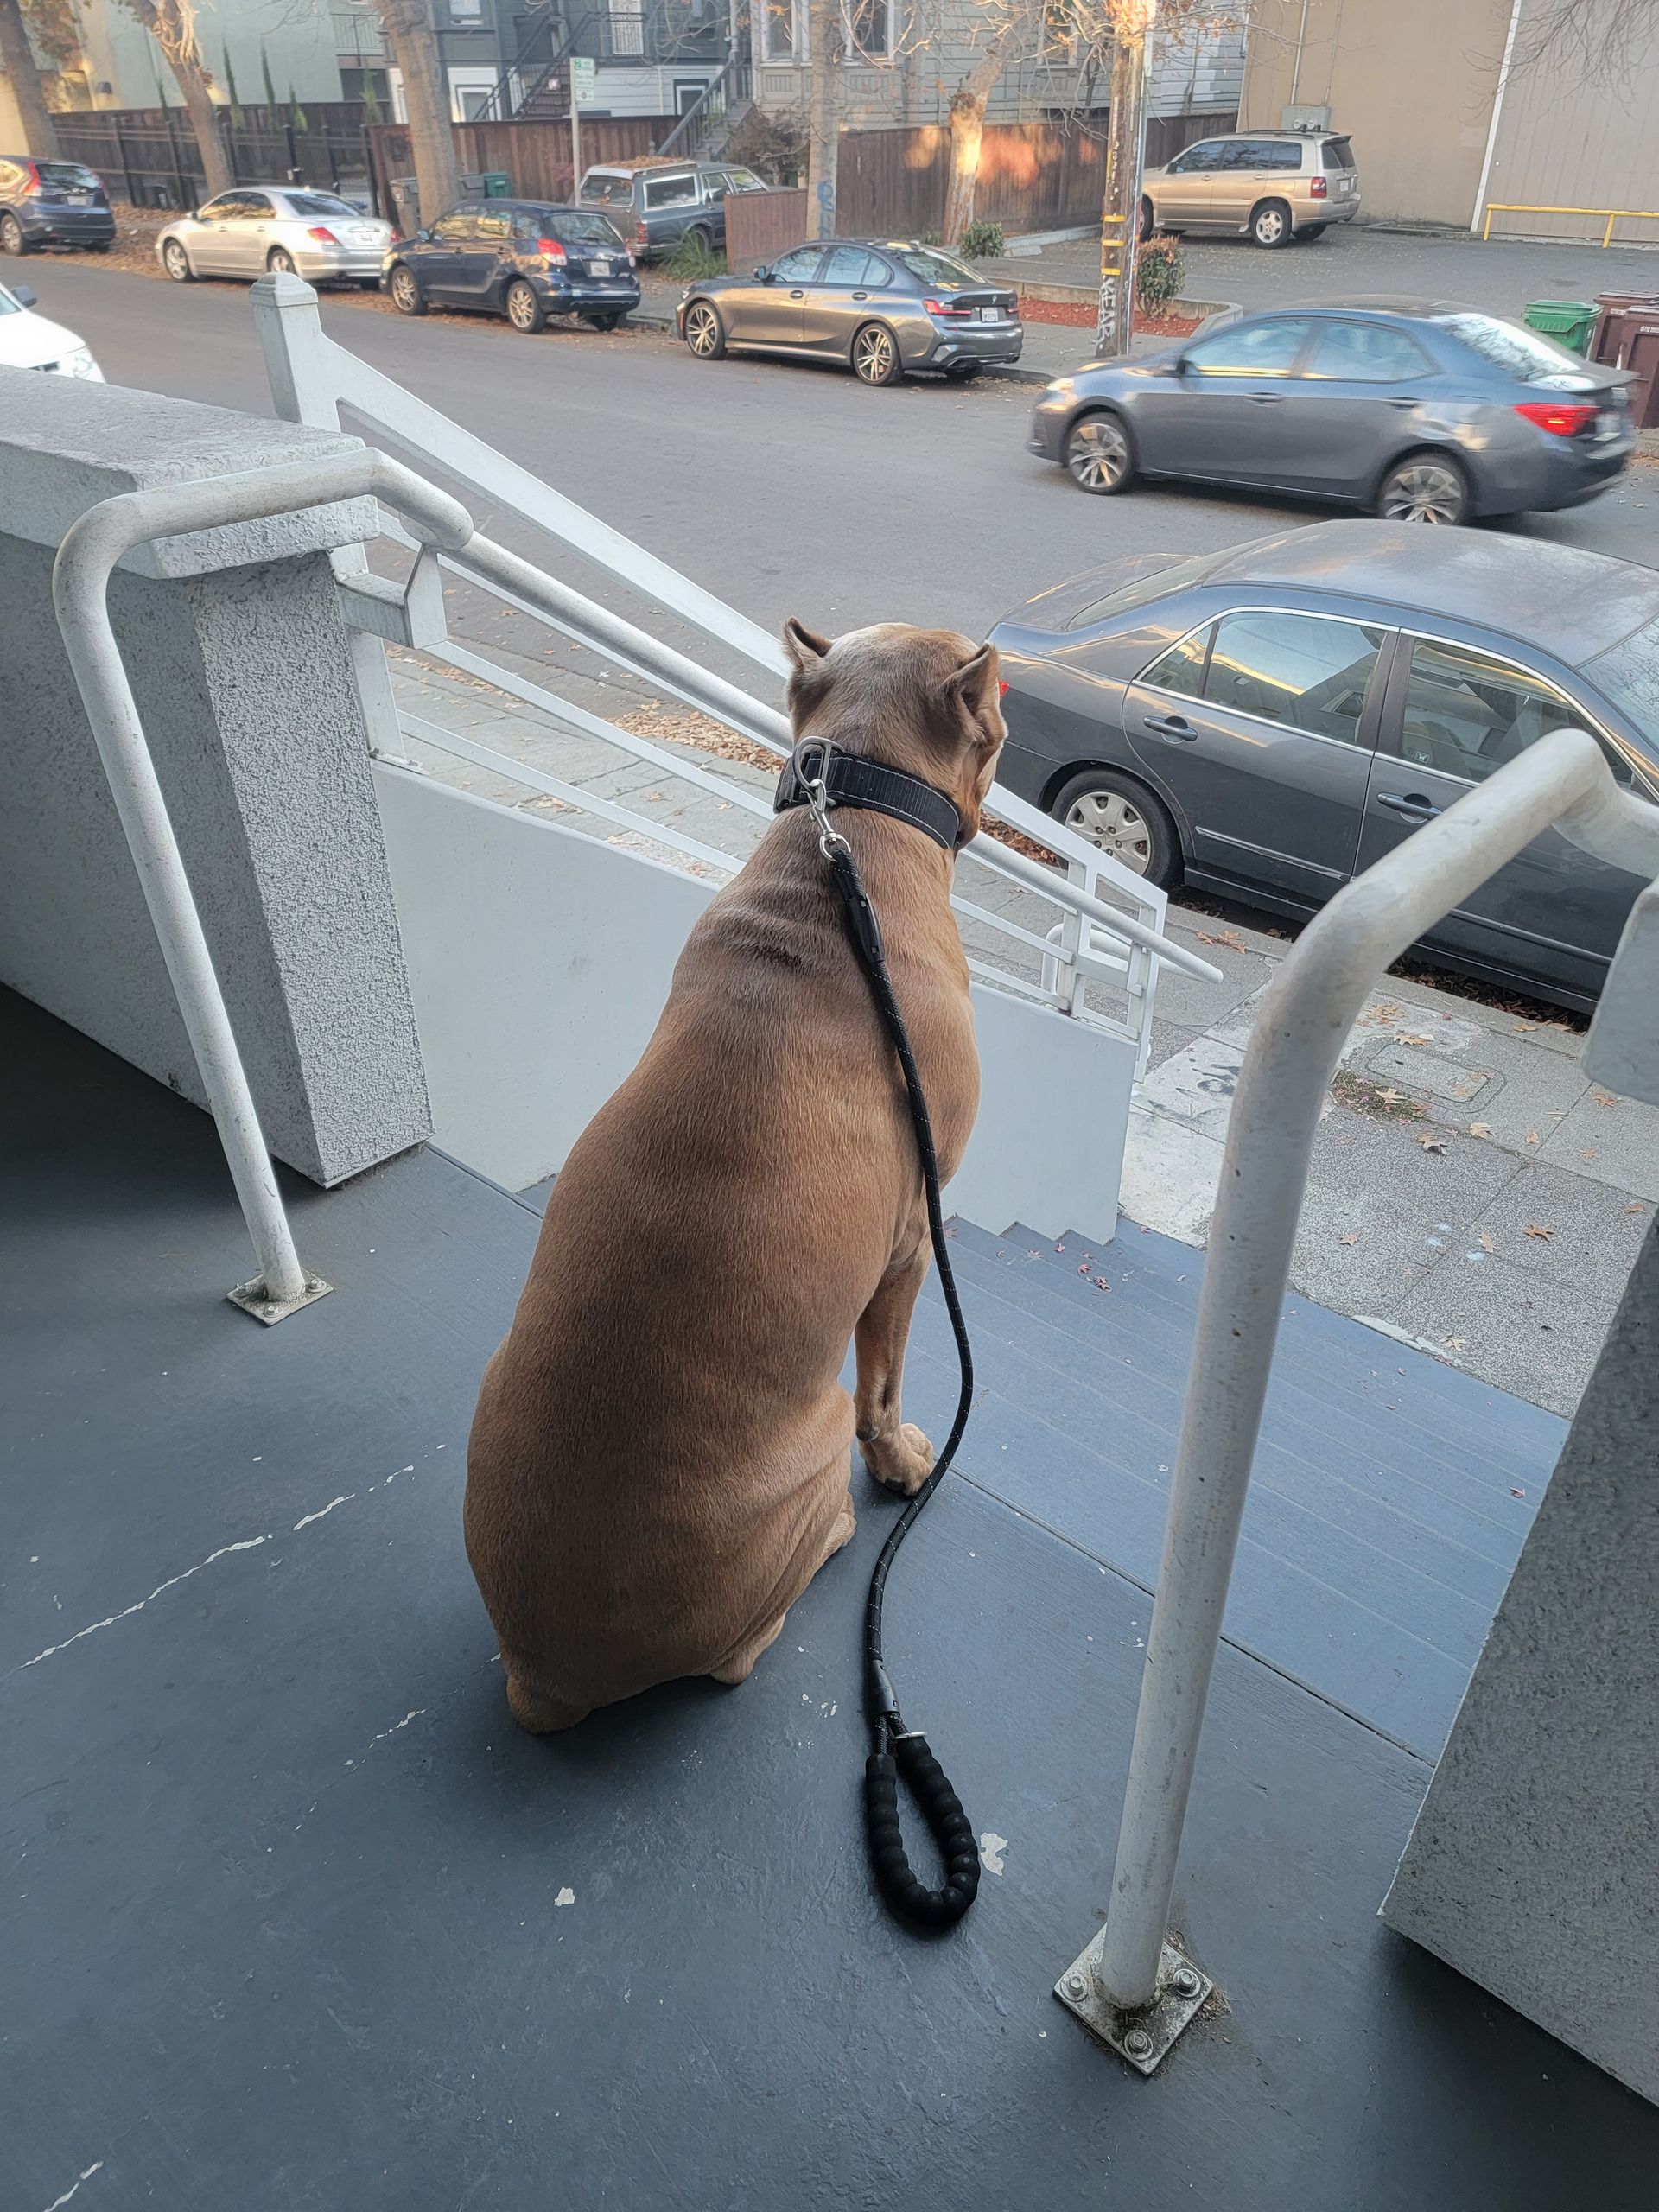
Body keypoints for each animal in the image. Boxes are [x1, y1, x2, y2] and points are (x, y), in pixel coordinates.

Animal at [464, 618, 1005, 1732]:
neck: (848, 834)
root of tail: (544, 1674)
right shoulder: (907, 1249)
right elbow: (887, 1384)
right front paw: (902, 1466)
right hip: (814, 1432)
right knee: (737, 1654)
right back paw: (835, 1534)